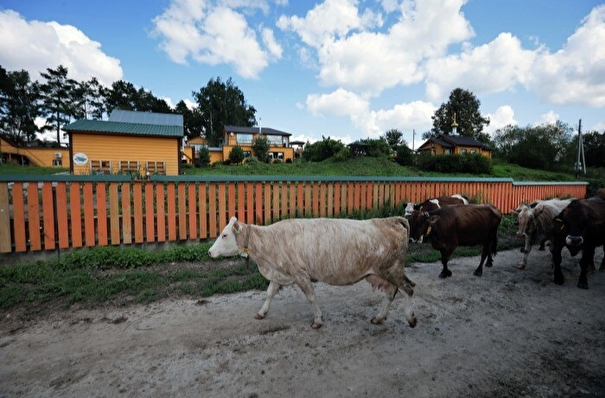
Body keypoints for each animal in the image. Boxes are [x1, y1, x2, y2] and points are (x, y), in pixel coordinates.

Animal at [208, 216, 416, 328]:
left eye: (224, 235)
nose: (209, 251)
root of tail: (390, 220)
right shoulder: (279, 272)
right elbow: (269, 293)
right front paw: (262, 312)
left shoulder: (300, 274)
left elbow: (311, 297)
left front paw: (317, 320)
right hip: (384, 273)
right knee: (391, 293)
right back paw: (379, 317)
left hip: (393, 270)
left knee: (409, 288)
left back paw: (411, 318)